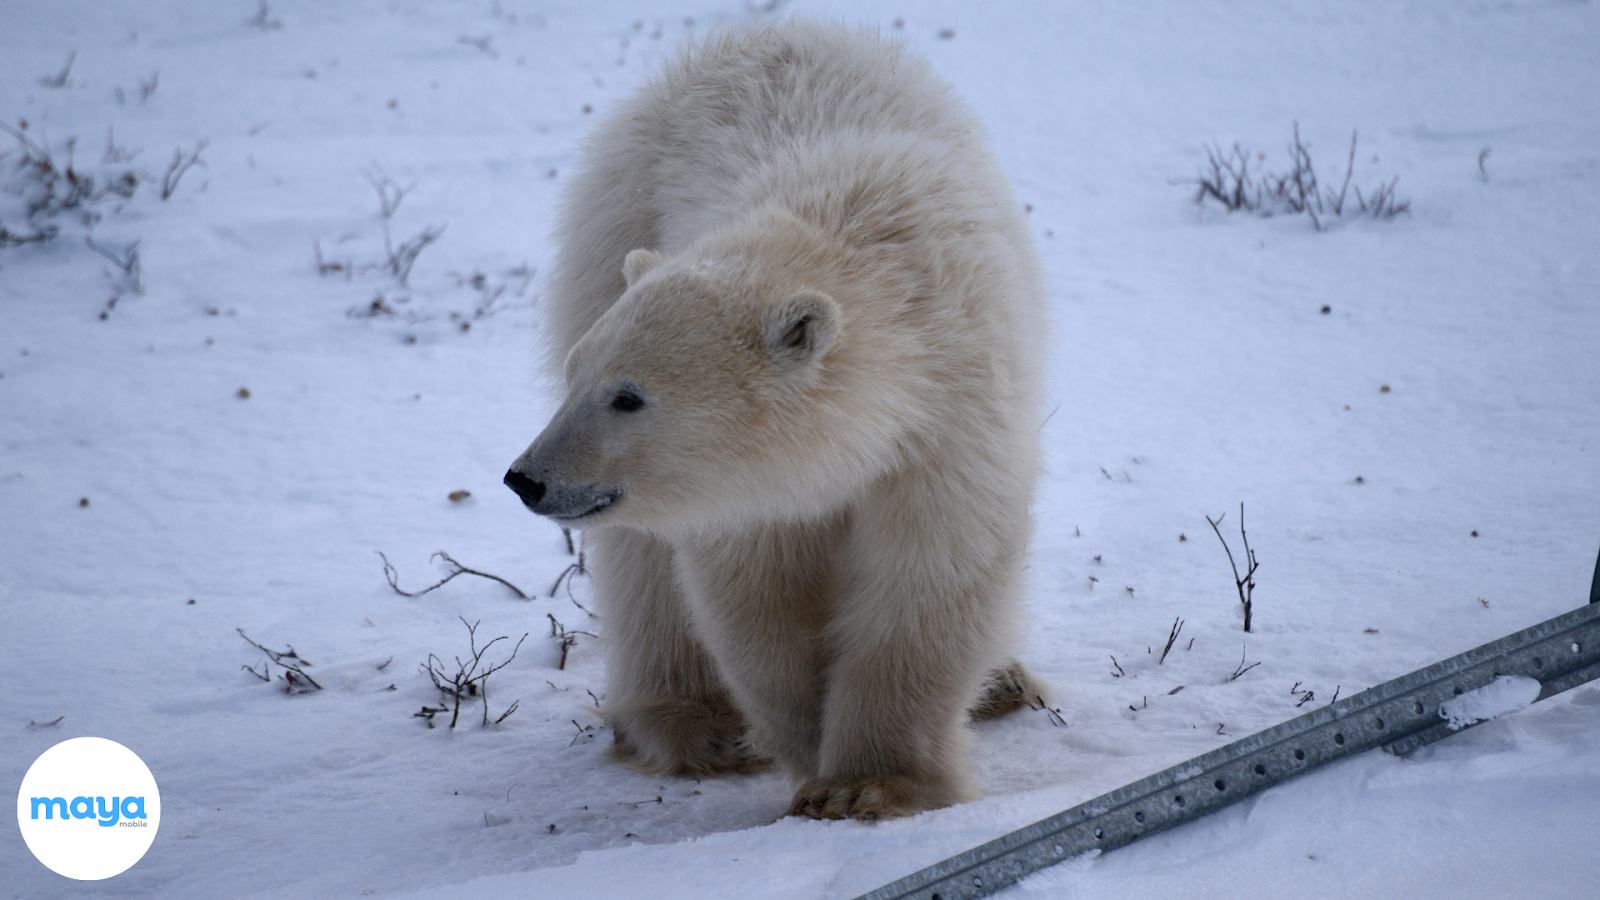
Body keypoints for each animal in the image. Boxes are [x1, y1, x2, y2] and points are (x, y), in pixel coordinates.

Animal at [502, 21, 1049, 819]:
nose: (527, 478)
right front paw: (806, 739)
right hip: (614, 225)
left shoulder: (955, 421)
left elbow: (930, 577)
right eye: (578, 376)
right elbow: (756, 596)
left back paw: (1005, 682)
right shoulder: (749, 490)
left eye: (628, 396)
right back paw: (693, 723)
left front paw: (869, 783)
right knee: (641, 564)